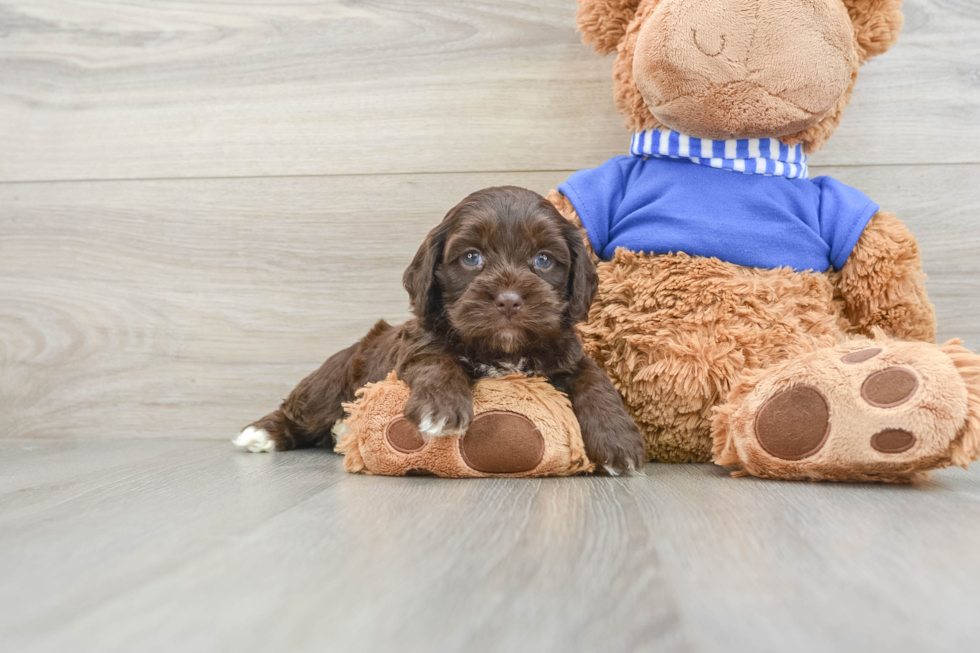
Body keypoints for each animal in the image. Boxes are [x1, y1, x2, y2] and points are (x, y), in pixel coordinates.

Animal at [236, 186, 648, 472]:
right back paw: (261, 433)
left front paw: (618, 441)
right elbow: (437, 362)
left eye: (544, 260)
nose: (509, 300)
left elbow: (595, 379)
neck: (501, 349)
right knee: (301, 410)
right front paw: (442, 407)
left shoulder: (565, 353)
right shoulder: (419, 343)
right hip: (331, 383)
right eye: (471, 257)